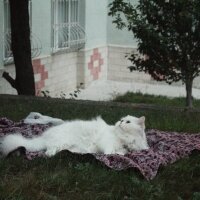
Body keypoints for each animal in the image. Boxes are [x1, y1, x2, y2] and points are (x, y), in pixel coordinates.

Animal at [0, 115, 148, 157]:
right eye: (122, 120)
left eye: (128, 122)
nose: (121, 122)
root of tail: (44, 136)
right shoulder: (106, 141)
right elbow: (110, 150)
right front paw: (111, 154)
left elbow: (122, 152)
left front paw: (121, 153)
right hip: (60, 142)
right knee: (48, 151)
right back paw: (51, 155)